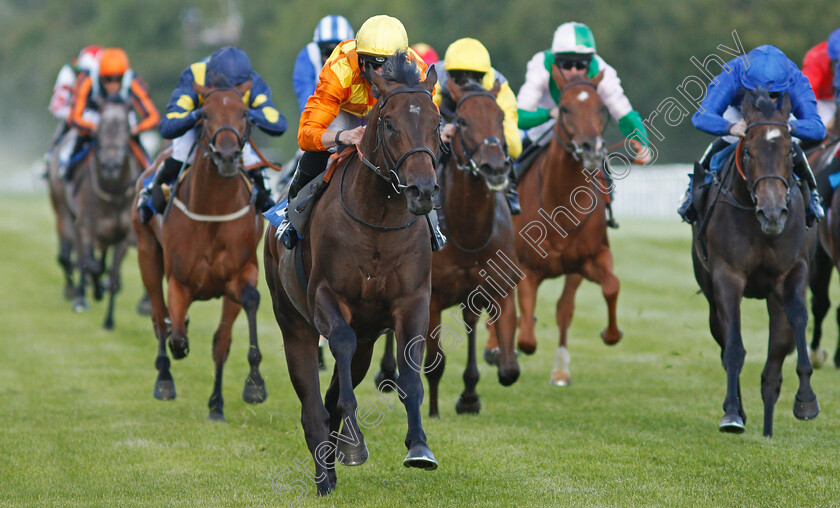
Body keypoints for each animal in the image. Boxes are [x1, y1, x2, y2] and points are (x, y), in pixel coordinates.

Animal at [131, 80, 266, 420]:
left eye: (244, 113)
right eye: (204, 114)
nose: (228, 156)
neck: (213, 211)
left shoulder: (240, 274)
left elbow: (226, 337)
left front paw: (240, 391)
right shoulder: (179, 281)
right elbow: (177, 334)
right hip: (146, 253)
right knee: (159, 315)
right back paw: (164, 378)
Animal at [264, 54, 440, 492]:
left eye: (437, 122)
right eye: (389, 123)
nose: (422, 191)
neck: (376, 221)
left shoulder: (413, 301)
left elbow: (410, 377)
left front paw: (419, 446)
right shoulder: (327, 297)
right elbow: (338, 347)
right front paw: (355, 444)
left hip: (368, 340)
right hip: (293, 322)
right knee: (313, 406)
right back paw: (324, 476)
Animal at [488, 67, 620, 384]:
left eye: (601, 107)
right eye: (564, 108)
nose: (591, 148)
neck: (560, 206)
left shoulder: (589, 259)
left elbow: (604, 289)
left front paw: (609, 334)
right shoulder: (525, 266)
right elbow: (526, 338)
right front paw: (507, 347)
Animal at [692, 88, 816, 436]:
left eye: (789, 153)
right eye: (747, 151)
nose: (772, 214)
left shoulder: (792, 271)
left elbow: (798, 319)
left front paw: (806, 400)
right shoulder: (727, 275)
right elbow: (733, 345)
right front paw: (732, 414)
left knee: (775, 357)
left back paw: (769, 426)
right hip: (709, 291)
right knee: (723, 338)